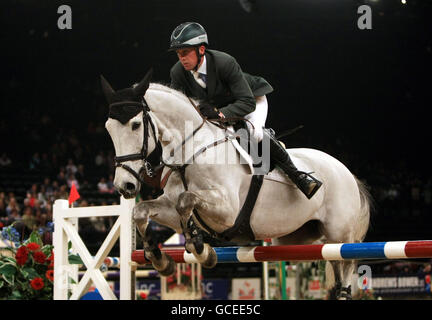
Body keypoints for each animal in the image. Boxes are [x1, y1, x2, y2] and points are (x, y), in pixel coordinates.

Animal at [101, 70, 372, 300]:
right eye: (108, 128)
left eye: (136, 125)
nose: (124, 186)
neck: (190, 150)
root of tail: (346, 171)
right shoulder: (170, 209)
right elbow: (142, 211)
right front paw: (159, 258)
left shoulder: (228, 211)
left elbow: (185, 200)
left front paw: (200, 248)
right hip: (302, 237)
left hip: (339, 236)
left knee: (345, 269)